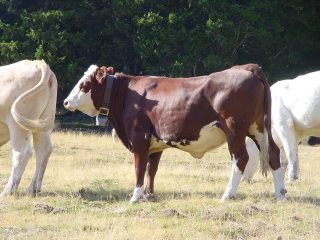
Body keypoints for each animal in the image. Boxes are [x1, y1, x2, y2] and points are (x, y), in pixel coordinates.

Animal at [0, 60, 57, 197]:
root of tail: (36, 62)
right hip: (42, 121)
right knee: (44, 149)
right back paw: (33, 189)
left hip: (16, 124)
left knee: (22, 153)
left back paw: (8, 191)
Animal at [63, 63, 286, 202]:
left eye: (85, 84)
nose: (65, 101)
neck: (128, 94)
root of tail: (247, 68)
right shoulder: (155, 143)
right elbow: (151, 169)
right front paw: (149, 195)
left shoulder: (139, 138)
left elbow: (139, 168)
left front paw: (135, 197)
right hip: (258, 128)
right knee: (273, 153)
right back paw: (280, 193)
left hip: (235, 129)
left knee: (240, 158)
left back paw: (228, 194)